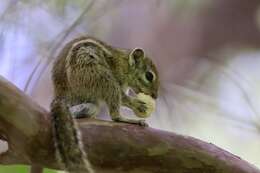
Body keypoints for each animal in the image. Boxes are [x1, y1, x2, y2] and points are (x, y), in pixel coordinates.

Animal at [50, 35, 159, 173]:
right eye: (149, 76)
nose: (155, 96)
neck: (124, 63)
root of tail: (61, 95)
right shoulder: (118, 79)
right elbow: (123, 98)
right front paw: (137, 104)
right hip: (102, 78)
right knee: (115, 116)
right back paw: (130, 120)